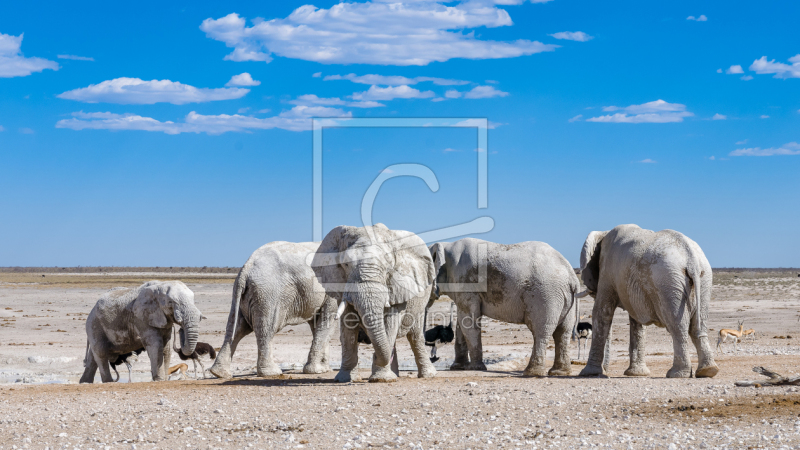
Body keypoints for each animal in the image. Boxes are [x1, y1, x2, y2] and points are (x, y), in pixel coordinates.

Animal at [208, 241, 336, 378]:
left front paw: (324, 369)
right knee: (267, 329)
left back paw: (219, 373)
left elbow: (317, 323)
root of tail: (246, 268)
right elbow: (327, 320)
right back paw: (271, 372)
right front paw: (317, 371)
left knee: (236, 328)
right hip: (268, 293)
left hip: (245, 295)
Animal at [312, 223, 438, 382]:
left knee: (415, 336)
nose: (373, 357)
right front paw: (344, 379)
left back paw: (427, 375)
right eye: (346, 264)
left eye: (388, 267)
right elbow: (348, 326)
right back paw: (394, 374)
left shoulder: (397, 286)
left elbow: (391, 322)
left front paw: (381, 378)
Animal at [432, 239, 580, 376]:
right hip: (563, 297)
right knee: (563, 332)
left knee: (541, 330)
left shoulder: (466, 282)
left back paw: (531, 373)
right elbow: (461, 324)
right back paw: (559, 372)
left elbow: (469, 321)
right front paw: (457, 367)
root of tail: (572, 276)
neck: (446, 244)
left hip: (545, 295)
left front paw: (474, 368)